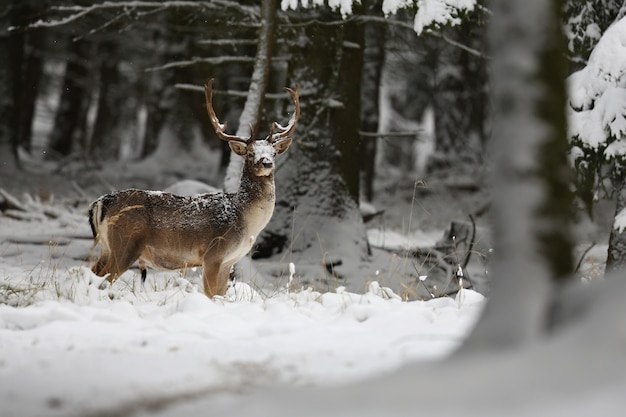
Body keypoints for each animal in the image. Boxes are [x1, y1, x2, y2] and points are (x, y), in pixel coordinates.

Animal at [88, 79, 300, 296]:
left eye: (273, 153)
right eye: (250, 153)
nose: (266, 163)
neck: (245, 220)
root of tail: (102, 201)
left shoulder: (228, 262)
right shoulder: (212, 254)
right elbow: (211, 295)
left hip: (108, 247)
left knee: (92, 274)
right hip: (125, 244)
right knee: (103, 280)